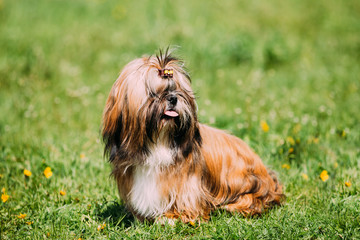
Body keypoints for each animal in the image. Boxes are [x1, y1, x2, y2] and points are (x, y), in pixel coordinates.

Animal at [101, 49, 284, 223]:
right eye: (153, 94)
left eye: (176, 90)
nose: (173, 98)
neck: (159, 143)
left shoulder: (188, 184)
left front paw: (172, 218)